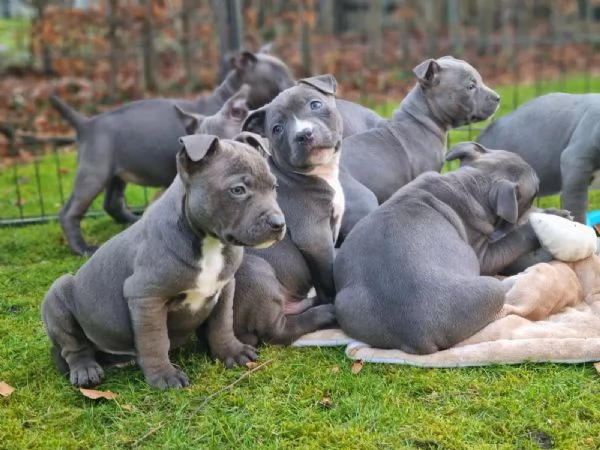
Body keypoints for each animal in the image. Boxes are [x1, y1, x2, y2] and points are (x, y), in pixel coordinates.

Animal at [42, 132, 286, 388]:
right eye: (238, 190)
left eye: (274, 186)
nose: (279, 223)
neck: (208, 243)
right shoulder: (146, 297)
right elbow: (155, 340)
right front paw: (164, 376)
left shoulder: (225, 287)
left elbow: (222, 324)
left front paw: (231, 352)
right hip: (57, 295)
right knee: (74, 348)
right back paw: (86, 371)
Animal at [49, 49, 296, 256]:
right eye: (281, 80)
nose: (295, 84)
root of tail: (86, 124)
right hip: (94, 173)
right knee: (69, 212)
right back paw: (82, 248)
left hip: (116, 175)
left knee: (112, 203)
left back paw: (132, 220)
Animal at [232, 74, 350, 344]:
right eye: (277, 129)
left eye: (315, 104)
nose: (304, 134)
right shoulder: (315, 238)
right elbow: (328, 273)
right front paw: (335, 299)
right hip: (256, 272)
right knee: (277, 331)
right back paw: (324, 313)